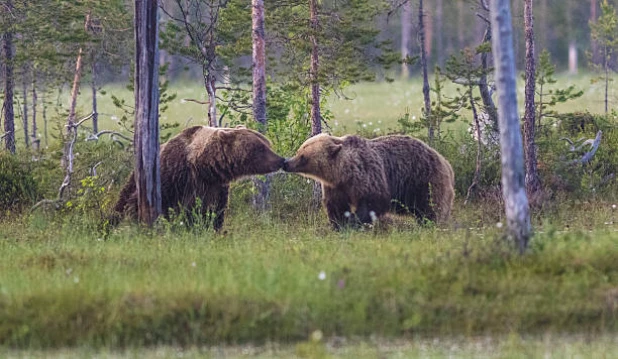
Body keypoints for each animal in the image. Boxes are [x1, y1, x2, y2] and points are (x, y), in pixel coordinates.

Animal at [112, 125, 282, 231]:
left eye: (267, 144)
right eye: (261, 148)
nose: (281, 160)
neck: (204, 166)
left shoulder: (215, 186)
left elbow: (214, 211)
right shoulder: (176, 176)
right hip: (137, 179)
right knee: (122, 202)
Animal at [284, 134, 452, 229]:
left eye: (303, 156)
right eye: (299, 151)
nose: (286, 163)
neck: (343, 172)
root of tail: (445, 161)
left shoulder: (368, 174)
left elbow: (373, 201)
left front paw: (354, 221)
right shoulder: (336, 186)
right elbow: (336, 205)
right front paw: (339, 223)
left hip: (423, 179)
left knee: (429, 205)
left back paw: (429, 224)